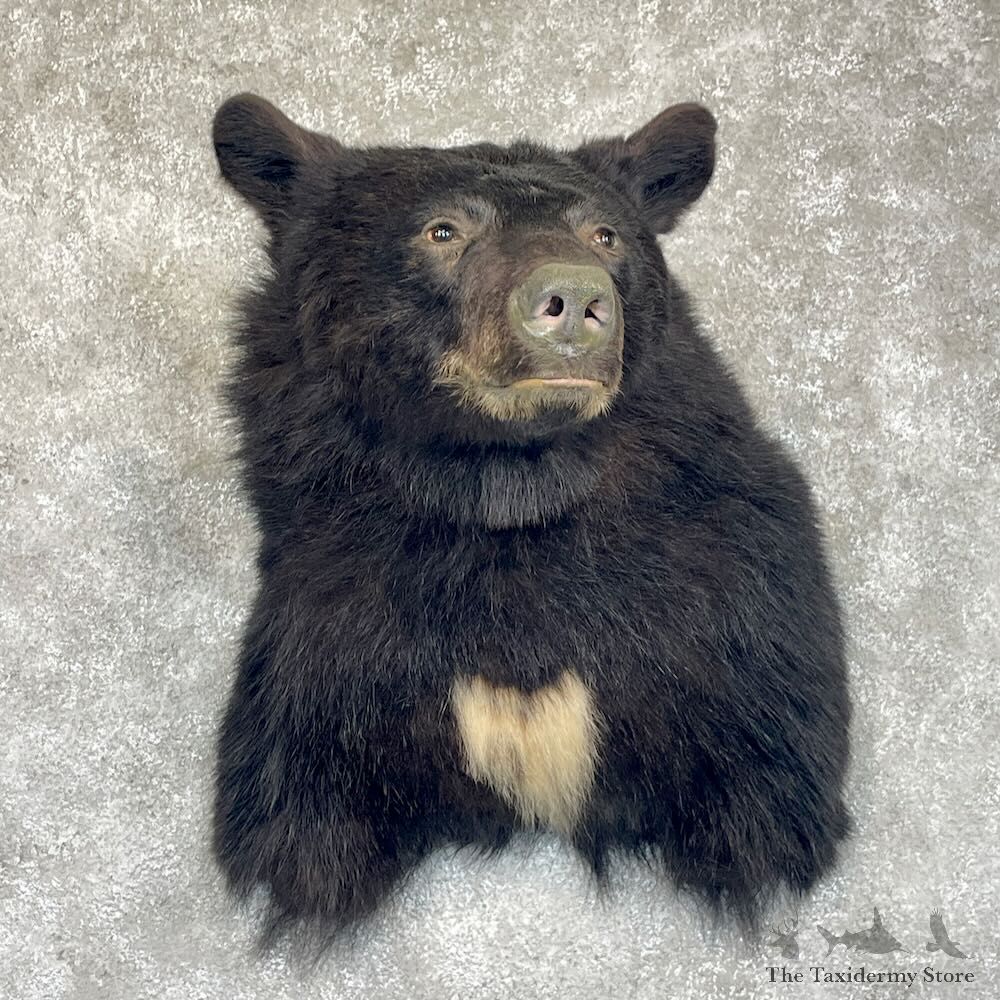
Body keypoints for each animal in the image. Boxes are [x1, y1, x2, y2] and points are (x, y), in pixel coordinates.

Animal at [210, 93, 851, 949]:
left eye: (604, 234)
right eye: (444, 230)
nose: (576, 299)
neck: (510, 489)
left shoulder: (739, 598)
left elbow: (770, 763)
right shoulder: (329, 622)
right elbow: (296, 806)